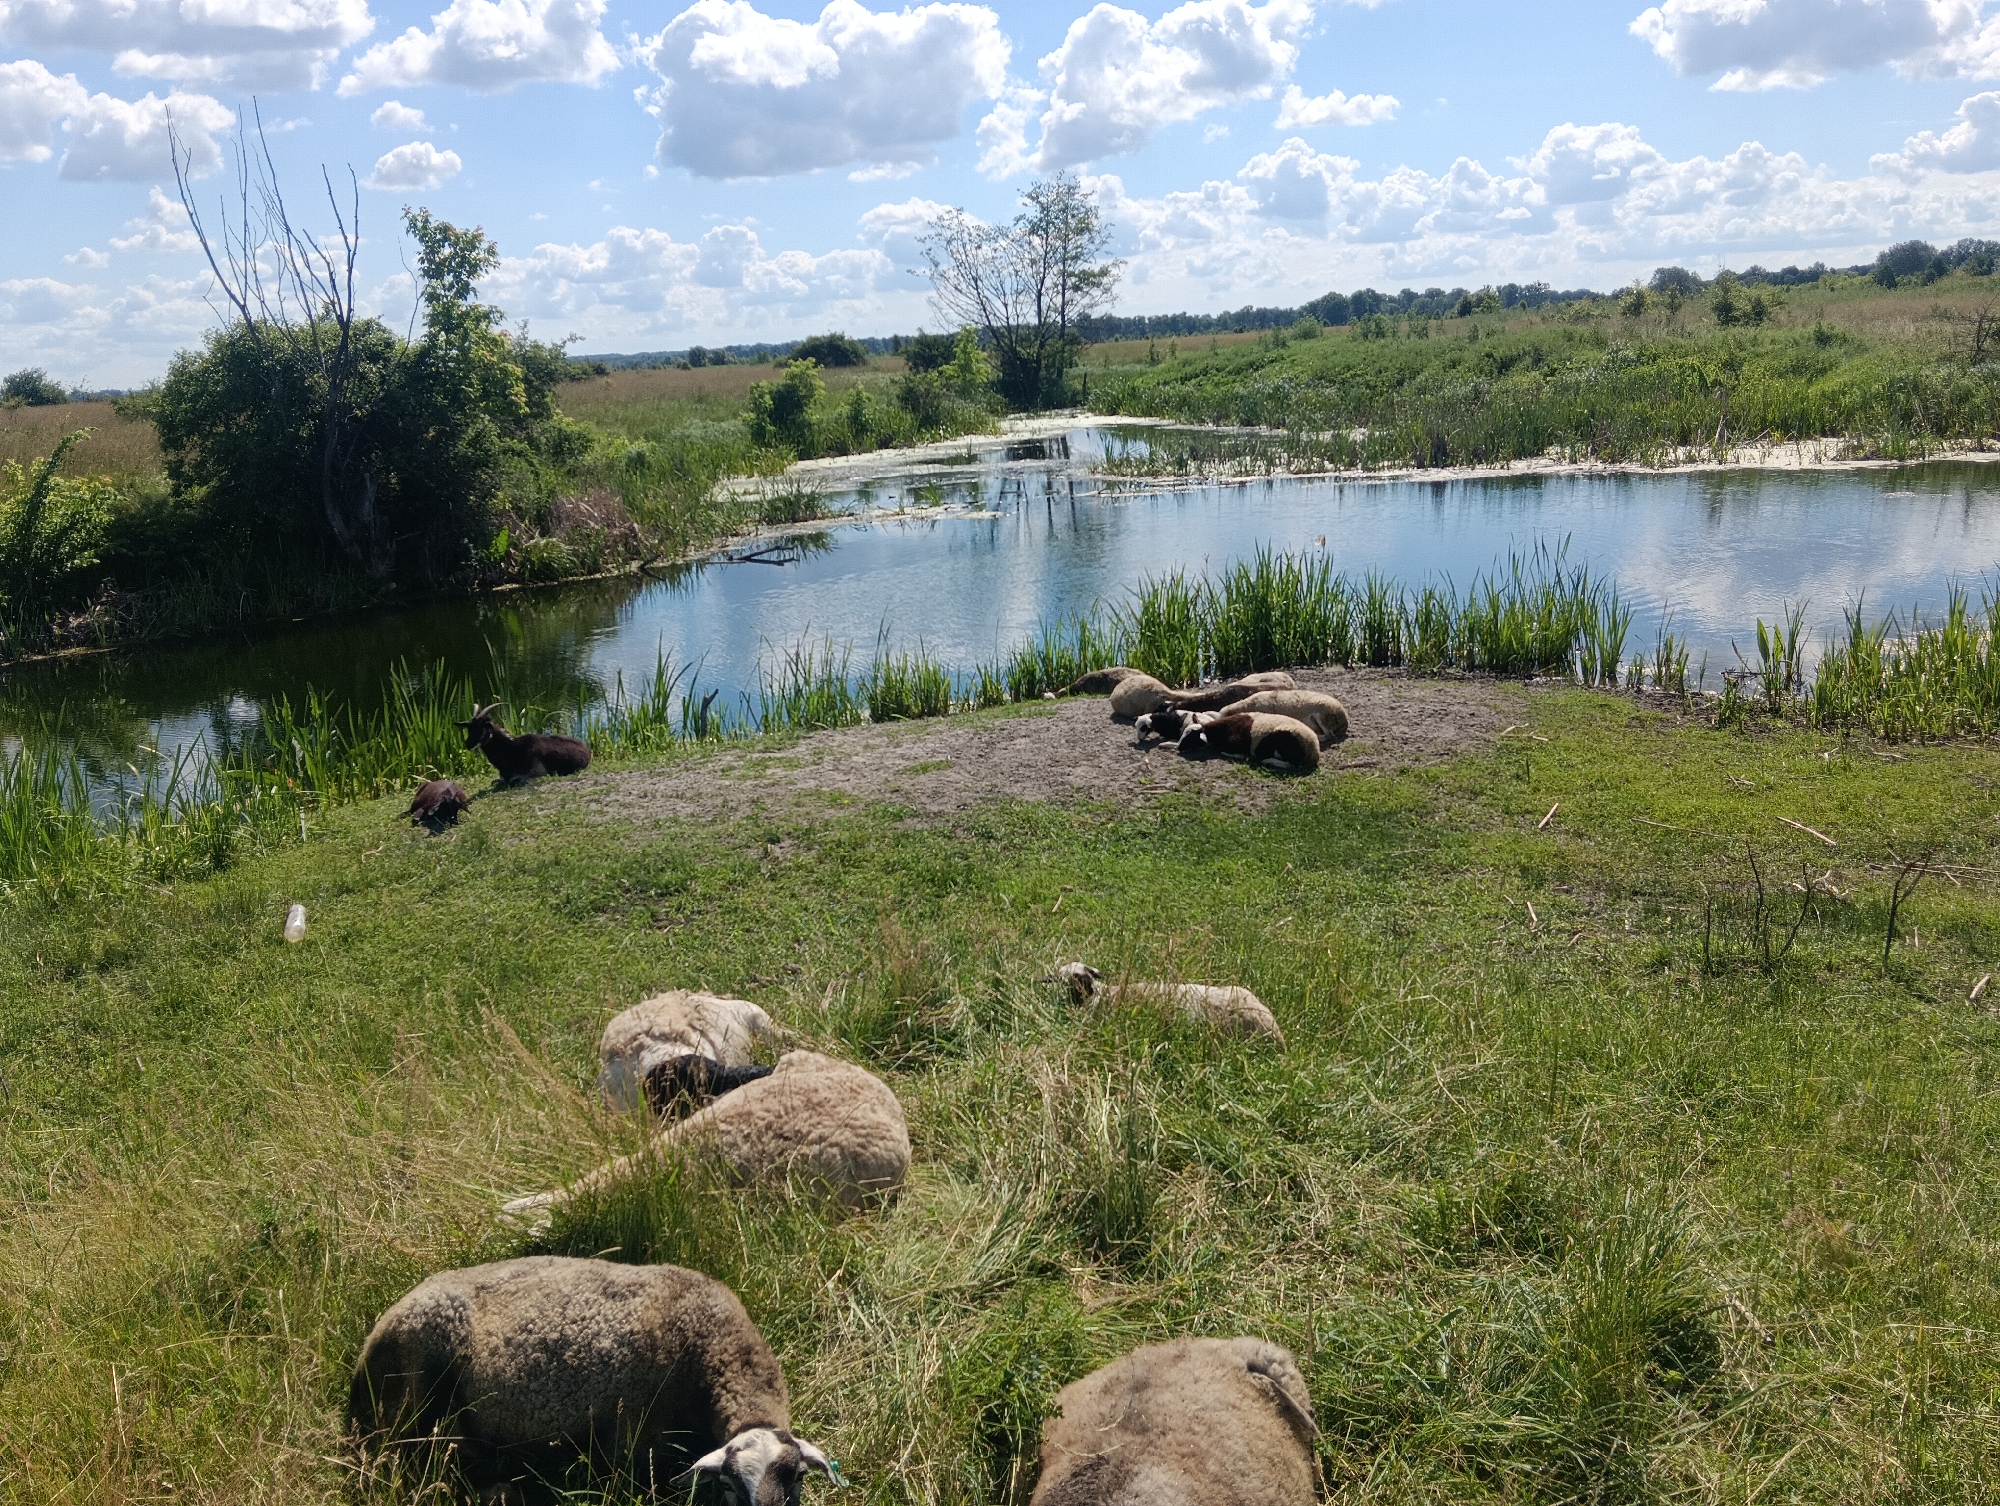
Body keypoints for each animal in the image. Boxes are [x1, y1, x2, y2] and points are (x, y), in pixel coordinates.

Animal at [456, 703, 592, 782]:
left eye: (481, 728)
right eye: (469, 728)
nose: (468, 745)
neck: (512, 748)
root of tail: (587, 751)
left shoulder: (535, 772)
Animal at [1180, 712, 1322, 773]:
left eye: (1191, 737)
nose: (1178, 748)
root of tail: (1314, 751)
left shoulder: (1236, 745)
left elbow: (1227, 751)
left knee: (1291, 765)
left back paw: (1267, 761)